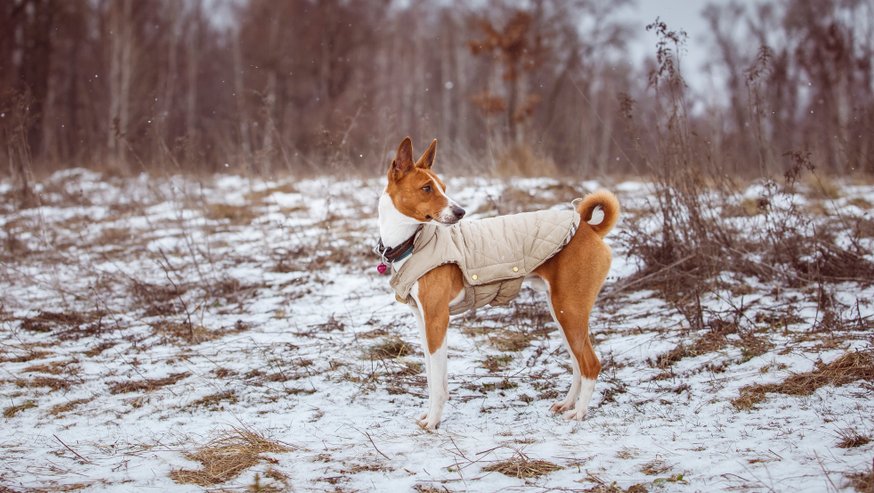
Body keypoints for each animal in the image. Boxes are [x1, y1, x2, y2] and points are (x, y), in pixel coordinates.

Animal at [376, 136, 620, 428]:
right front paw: (428, 414)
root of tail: (587, 227)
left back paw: (579, 413)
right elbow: (433, 377)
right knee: (577, 363)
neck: (412, 243)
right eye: (426, 188)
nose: (460, 211)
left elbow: (437, 380)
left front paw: (433, 421)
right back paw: (567, 403)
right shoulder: (423, 321)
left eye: (443, 188)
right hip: (562, 312)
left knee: (590, 364)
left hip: (570, 310)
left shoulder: (437, 319)